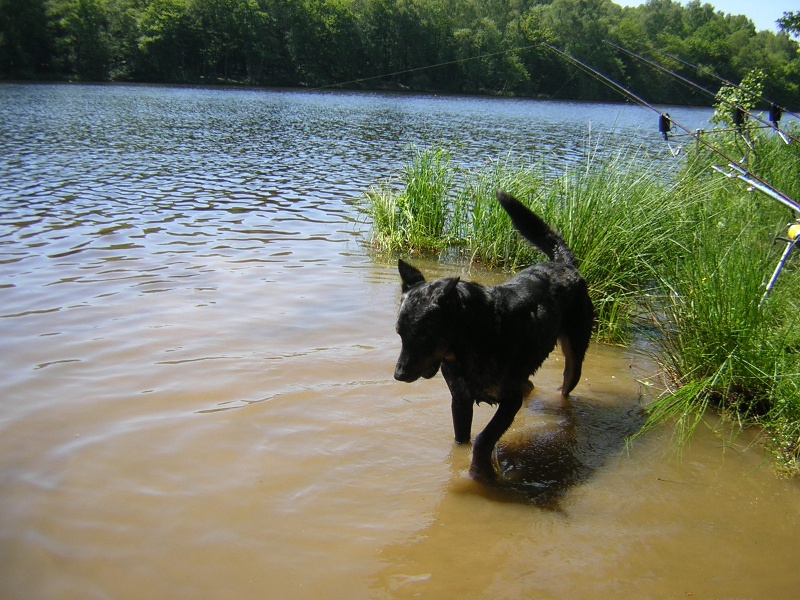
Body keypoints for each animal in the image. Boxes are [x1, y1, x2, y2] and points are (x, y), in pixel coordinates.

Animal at [394, 190, 592, 480]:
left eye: (423, 335)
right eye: (399, 333)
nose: (398, 375)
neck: (471, 341)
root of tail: (564, 264)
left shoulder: (509, 401)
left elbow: (484, 439)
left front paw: (480, 473)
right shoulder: (460, 399)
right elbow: (462, 440)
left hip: (574, 356)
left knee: (565, 384)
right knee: (529, 385)